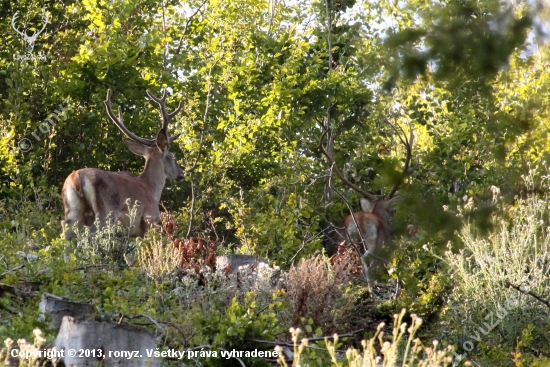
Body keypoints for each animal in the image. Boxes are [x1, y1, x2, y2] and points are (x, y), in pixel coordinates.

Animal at [61, 89, 184, 244]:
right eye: (173, 156)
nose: (182, 172)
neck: (151, 188)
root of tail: (77, 178)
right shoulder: (151, 217)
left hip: (72, 208)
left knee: (66, 228)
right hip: (106, 210)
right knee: (91, 232)